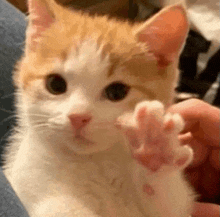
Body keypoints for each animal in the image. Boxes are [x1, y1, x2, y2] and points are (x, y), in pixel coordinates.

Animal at [3, 0, 196, 216]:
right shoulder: (28, 178)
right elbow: (60, 207)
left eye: (117, 92)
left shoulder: (175, 207)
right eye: (55, 84)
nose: (78, 117)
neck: (92, 162)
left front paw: (155, 148)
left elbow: (166, 203)